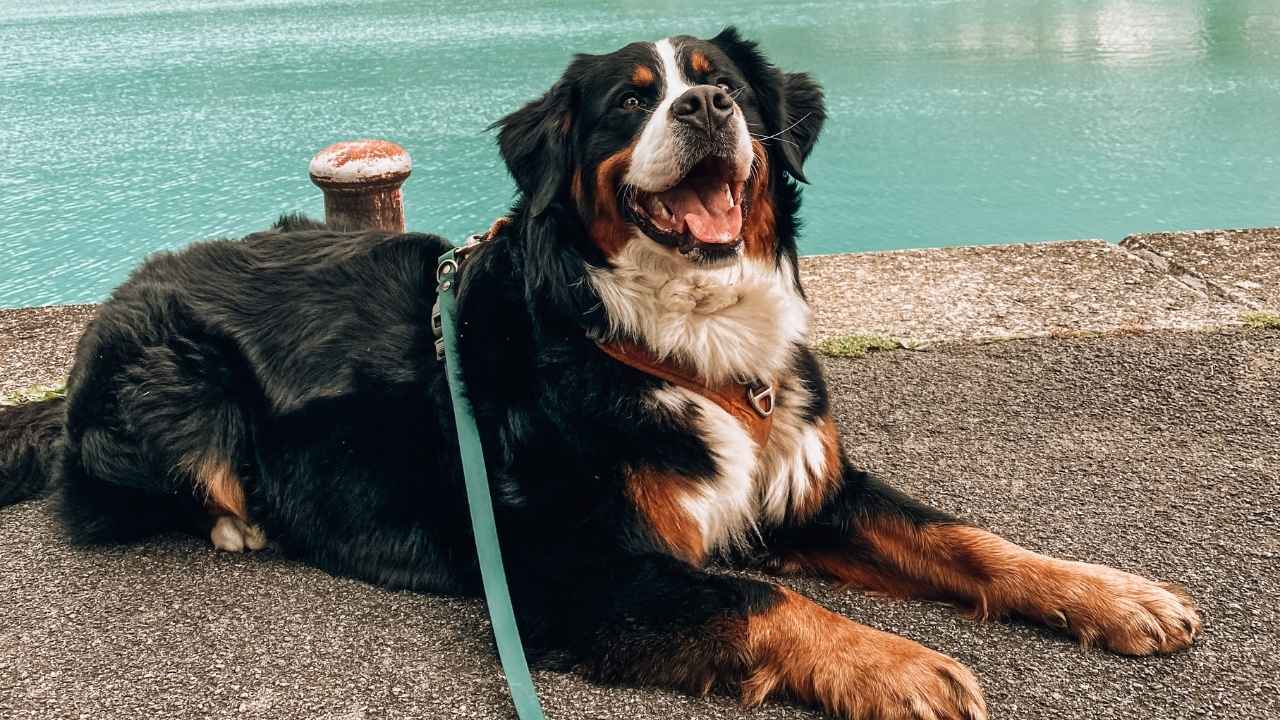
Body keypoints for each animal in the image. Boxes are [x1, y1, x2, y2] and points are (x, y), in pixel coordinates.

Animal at [0, 28, 1198, 717]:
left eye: (723, 87)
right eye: (629, 102)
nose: (705, 111)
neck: (678, 338)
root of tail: (116, 301)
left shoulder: (801, 483)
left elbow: (965, 539)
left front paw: (1111, 594)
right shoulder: (575, 567)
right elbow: (758, 596)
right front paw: (900, 667)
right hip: (172, 386)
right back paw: (236, 521)